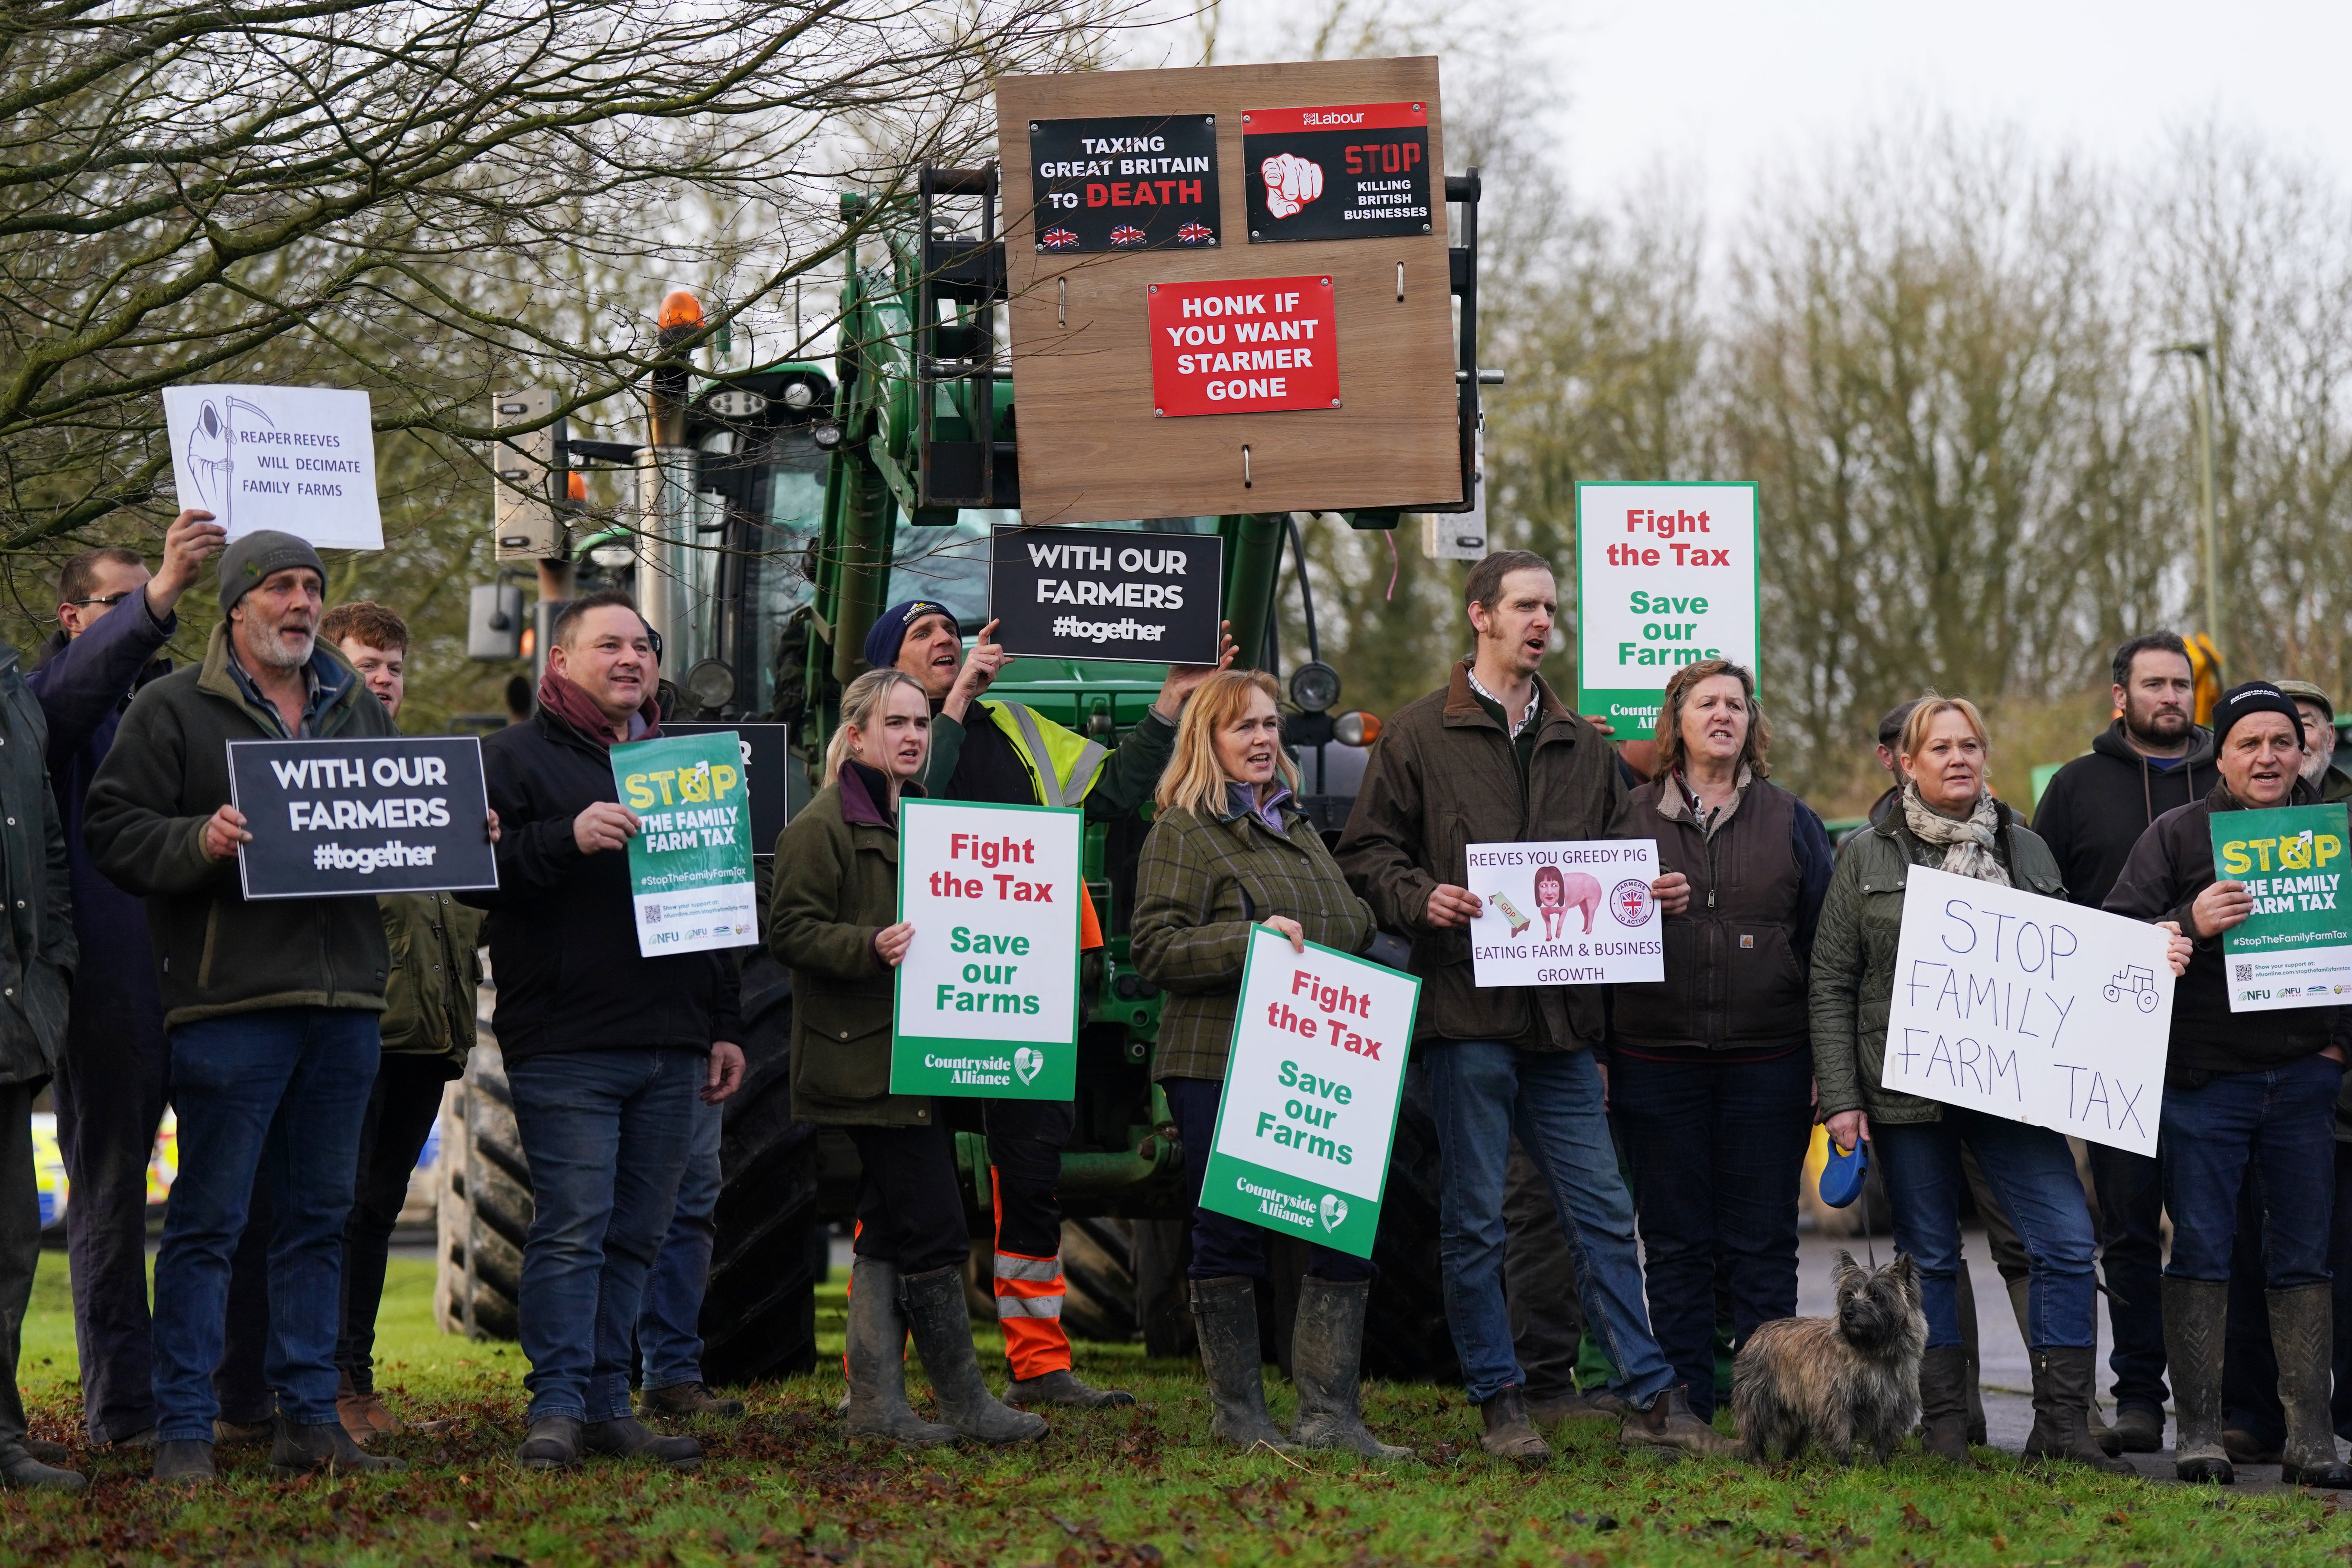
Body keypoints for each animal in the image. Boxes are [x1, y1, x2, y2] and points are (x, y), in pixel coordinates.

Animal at [1740, 1241, 1919, 1467]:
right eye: (1849, 1295)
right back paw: (1760, 1462)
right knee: (1754, 1431)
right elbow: (1841, 1434)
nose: (1848, 1313)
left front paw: (1876, 1466)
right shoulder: (1837, 1403)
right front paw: (1846, 1467)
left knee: (1792, 1436)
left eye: (1876, 1296)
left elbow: (1885, 1440)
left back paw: (1791, 1461)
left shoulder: (1894, 1408)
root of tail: (1761, 1330)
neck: (1873, 1353)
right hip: (1760, 1400)